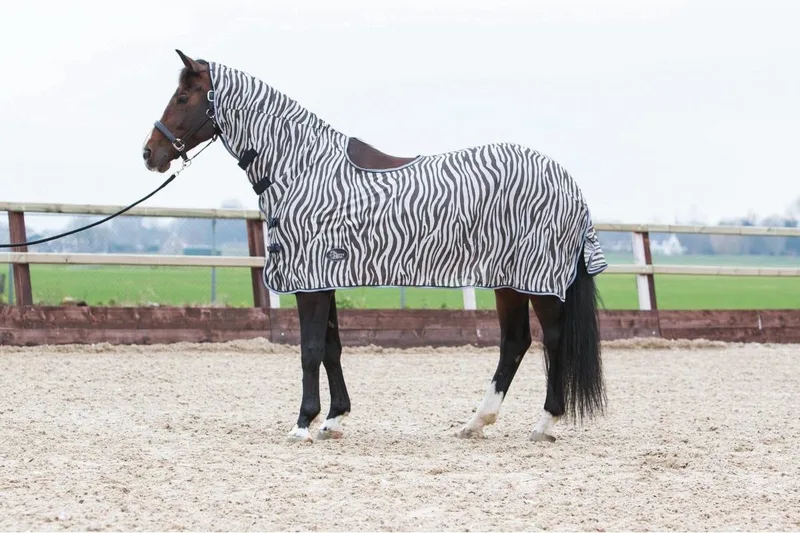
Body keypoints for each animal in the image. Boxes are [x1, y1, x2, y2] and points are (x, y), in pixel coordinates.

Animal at [143, 50, 608, 443]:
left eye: (183, 96)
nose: (150, 153)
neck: (303, 168)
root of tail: (570, 184)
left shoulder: (310, 279)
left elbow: (310, 350)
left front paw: (302, 423)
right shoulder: (323, 278)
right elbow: (331, 348)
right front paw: (333, 419)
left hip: (537, 280)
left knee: (552, 339)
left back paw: (544, 424)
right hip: (508, 281)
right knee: (515, 342)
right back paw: (476, 422)